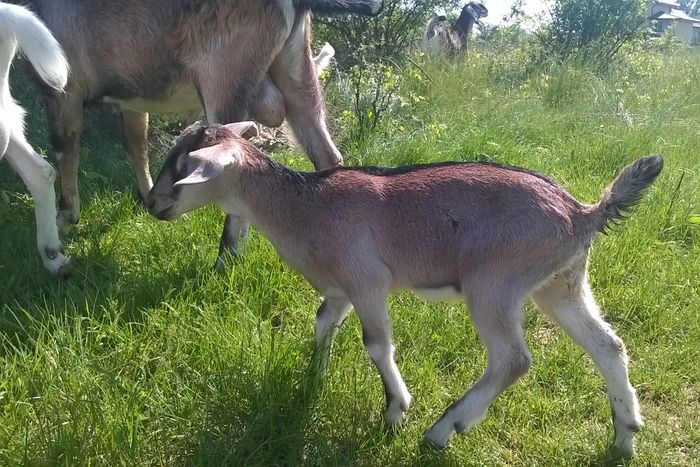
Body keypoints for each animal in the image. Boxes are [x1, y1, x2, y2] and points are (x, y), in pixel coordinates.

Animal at [12, 0, 378, 268]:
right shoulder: (132, 97)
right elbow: (135, 143)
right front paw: (146, 195)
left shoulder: (62, 89)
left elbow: (65, 148)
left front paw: (65, 217)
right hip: (296, 69)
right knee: (326, 152)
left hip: (225, 76)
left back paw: (226, 258)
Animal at [146, 122, 660, 456]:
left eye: (182, 167)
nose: (150, 203)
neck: (304, 207)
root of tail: (582, 213)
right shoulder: (340, 290)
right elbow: (322, 324)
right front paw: (311, 383)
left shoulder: (367, 282)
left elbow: (376, 343)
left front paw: (395, 412)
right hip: (560, 284)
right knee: (607, 345)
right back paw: (624, 437)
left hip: (493, 284)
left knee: (513, 359)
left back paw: (443, 430)